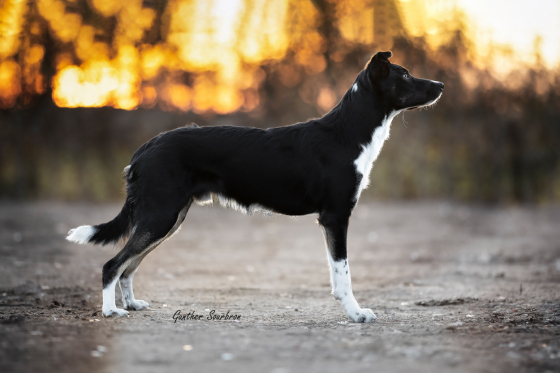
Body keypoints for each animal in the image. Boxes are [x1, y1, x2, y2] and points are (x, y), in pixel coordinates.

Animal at [66, 50, 442, 322]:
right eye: (404, 74)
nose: (440, 84)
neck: (347, 133)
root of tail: (145, 148)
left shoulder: (332, 219)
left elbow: (339, 273)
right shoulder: (335, 217)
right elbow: (343, 274)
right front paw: (355, 313)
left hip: (168, 220)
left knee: (129, 265)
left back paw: (131, 304)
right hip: (161, 216)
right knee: (113, 264)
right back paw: (110, 310)